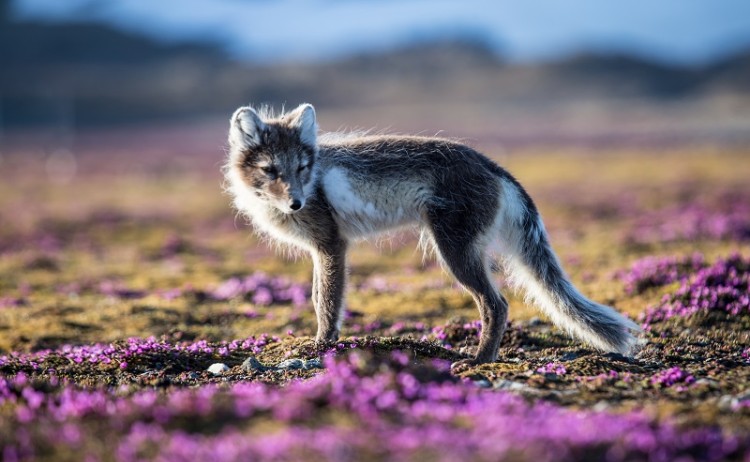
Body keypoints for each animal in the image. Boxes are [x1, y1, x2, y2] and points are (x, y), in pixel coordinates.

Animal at [224, 103, 640, 367]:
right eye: (271, 169)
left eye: (302, 167)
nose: (296, 203)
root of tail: (492, 165)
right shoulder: (322, 250)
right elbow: (316, 297)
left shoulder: (331, 245)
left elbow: (325, 301)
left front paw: (322, 345)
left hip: (455, 252)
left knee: (497, 304)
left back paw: (480, 361)